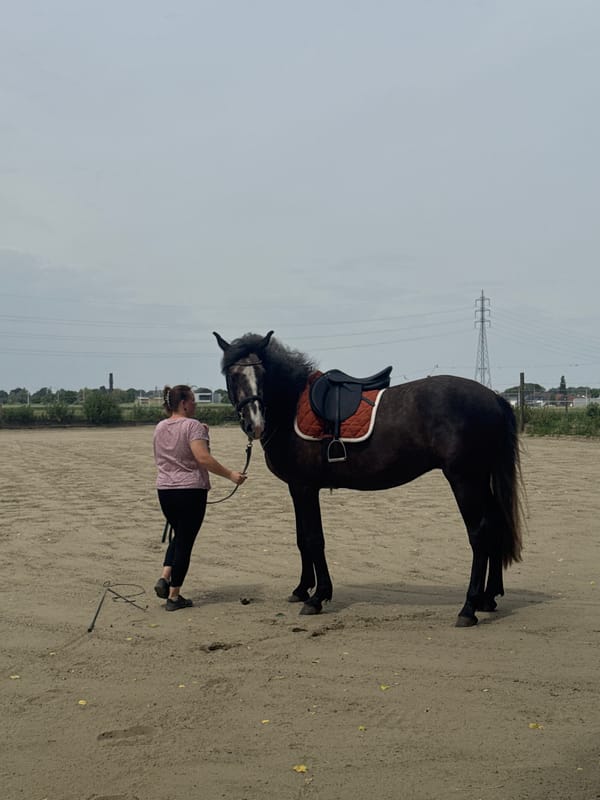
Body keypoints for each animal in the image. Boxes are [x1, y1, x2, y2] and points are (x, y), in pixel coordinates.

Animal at [214, 330, 524, 627]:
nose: (254, 424)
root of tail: (494, 397)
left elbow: (314, 538)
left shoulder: (305, 487)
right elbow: (302, 538)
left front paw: (318, 597)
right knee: (496, 523)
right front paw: (302, 589)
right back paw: (488, 598)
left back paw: (468, 608)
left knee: (479, 534)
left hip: (465, 479)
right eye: (232, 374)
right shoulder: (296, 487)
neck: (291, 407)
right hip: (481, 479)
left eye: (263, 373)